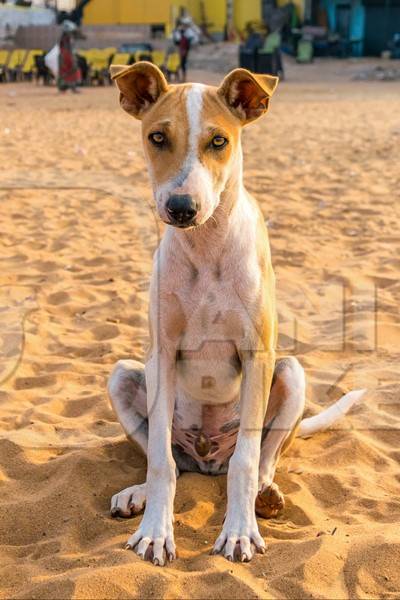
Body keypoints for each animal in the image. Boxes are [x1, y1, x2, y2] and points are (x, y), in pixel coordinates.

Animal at [107, 63, 366, 564]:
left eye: (219, 141)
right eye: (157, 137)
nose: (181, 208)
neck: (206, 245)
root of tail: (209, 458)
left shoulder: (257, 354)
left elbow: (246, 461)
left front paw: (240, 532)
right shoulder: (161, 354)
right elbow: (160, 462)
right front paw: (155, 532)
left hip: (290, 372)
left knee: (262, 458)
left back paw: (265, 494)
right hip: (124, 375)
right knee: (169, 458)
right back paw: (138, 493)